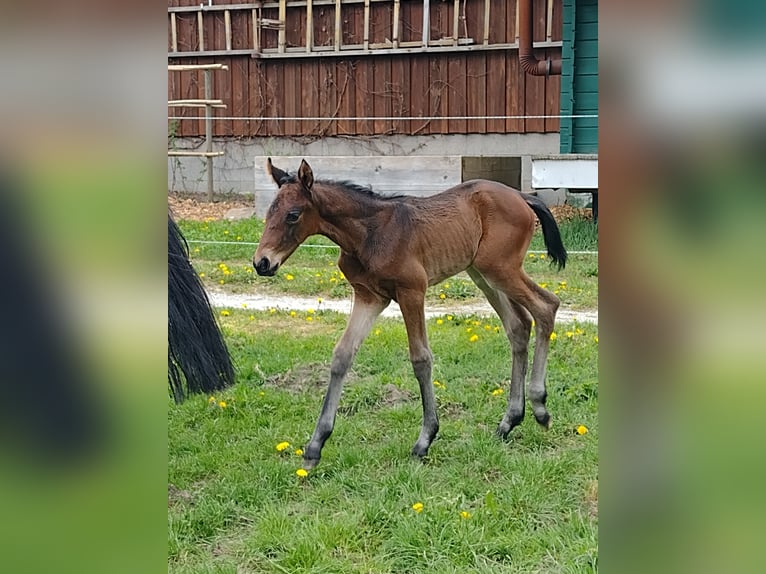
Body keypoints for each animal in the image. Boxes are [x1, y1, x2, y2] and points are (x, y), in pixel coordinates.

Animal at [254, 158, 567, 470]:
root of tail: (522, 196)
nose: (262, 262)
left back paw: (539, 407)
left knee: (546, 307)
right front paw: (315, 446)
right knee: (519, 325)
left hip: (500, 269)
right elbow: (342, 356)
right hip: (482, 273)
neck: (368, 233)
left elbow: (420, 359)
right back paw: (509, 421)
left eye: (293, 215)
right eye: (269, 212)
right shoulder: (369, 297)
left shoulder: (412, 292)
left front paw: (425, 439)